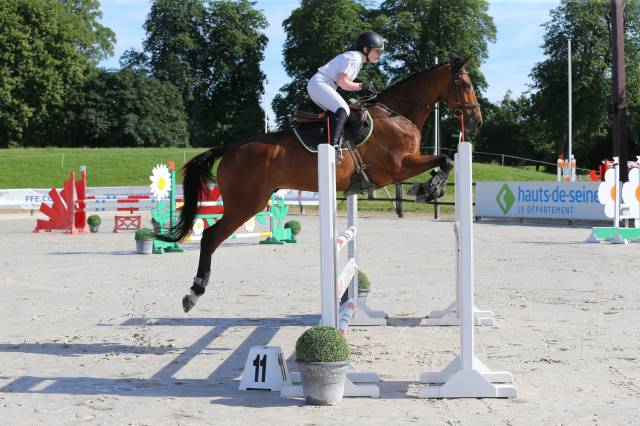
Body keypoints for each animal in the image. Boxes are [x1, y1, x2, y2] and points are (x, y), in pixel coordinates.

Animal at [161, 57, 483, 313]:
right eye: (466, 84)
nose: (476, 122)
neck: (398, 114)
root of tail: (231, 148)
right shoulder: (398, 167)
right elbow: (445, 160)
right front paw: (427, 190)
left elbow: (445, 160)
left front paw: (430, 189)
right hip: (245, 204)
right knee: (209, 237)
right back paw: (194, 292)